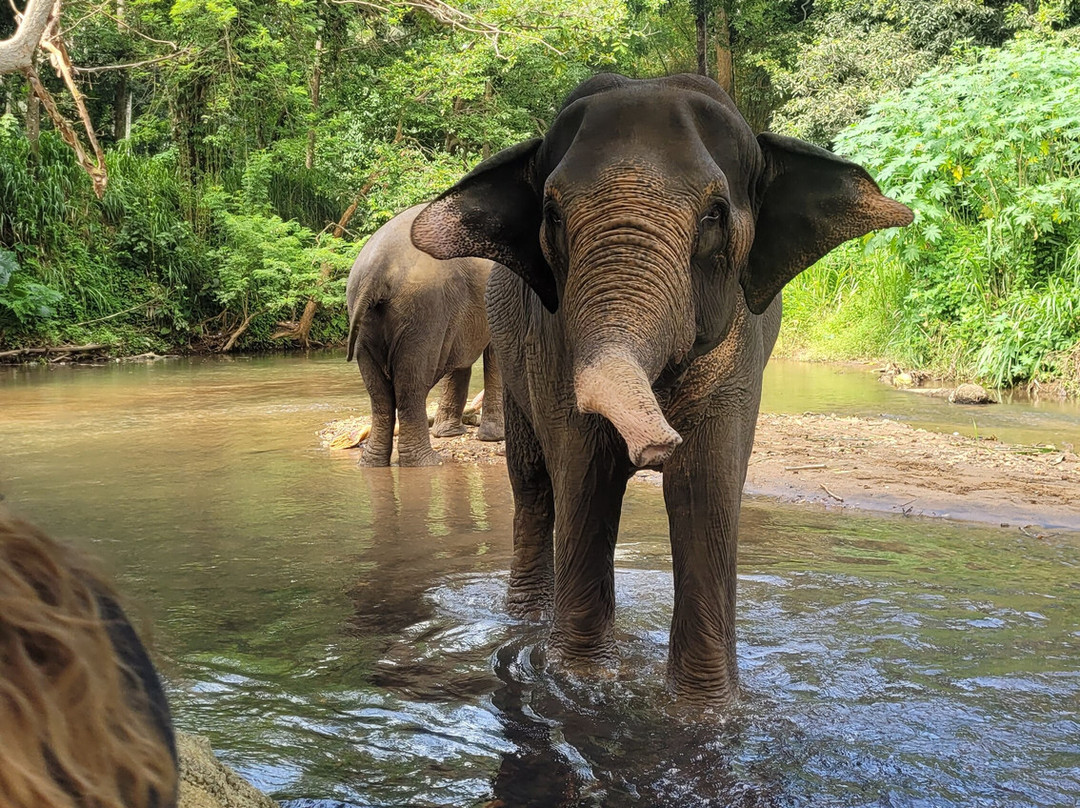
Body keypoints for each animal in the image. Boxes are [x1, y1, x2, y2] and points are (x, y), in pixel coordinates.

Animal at [346, 203, 505, 467]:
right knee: (412, 385)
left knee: (379, 394)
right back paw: (429, 462)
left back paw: (373, 463)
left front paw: (450, 434)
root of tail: (376, 269)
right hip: (424, 310)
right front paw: (495, 438)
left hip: (364, 315)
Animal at [411, 73, 913, 703]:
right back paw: (524, 621)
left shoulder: (740, 357)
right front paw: (580, 687)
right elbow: (586, 477)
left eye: (715, 215)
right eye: (551, 215)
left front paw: (705, 711)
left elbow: (706, 487)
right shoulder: (548, 343)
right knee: (533, 486)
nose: (654, 446)